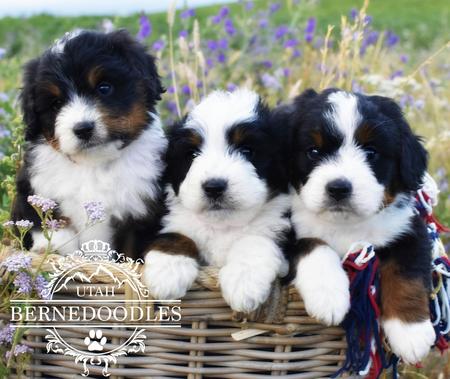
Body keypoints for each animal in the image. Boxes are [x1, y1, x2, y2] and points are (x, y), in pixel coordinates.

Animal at [12, 28, 167, 256]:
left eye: (104, 88)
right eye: (56, 103)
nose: (83, 129)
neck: (94, 166)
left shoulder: (140, 213)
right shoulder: (35, 190)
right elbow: (54, 230)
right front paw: (51, 250)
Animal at [144, 90, 292, 314]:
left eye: (247, 151)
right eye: (193, 154)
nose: (214, 187)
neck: (224, 226)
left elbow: (254, 239)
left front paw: (244, 282)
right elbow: (176, 236)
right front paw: (167, 271)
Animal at [286, 88, 434, 366]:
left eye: (372, 152)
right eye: (314, 151)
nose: (338, 188)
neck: (346, 226)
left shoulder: (408, 230)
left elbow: (406, 276)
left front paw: (411, 333)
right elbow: (315, 245)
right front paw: (329, 297)